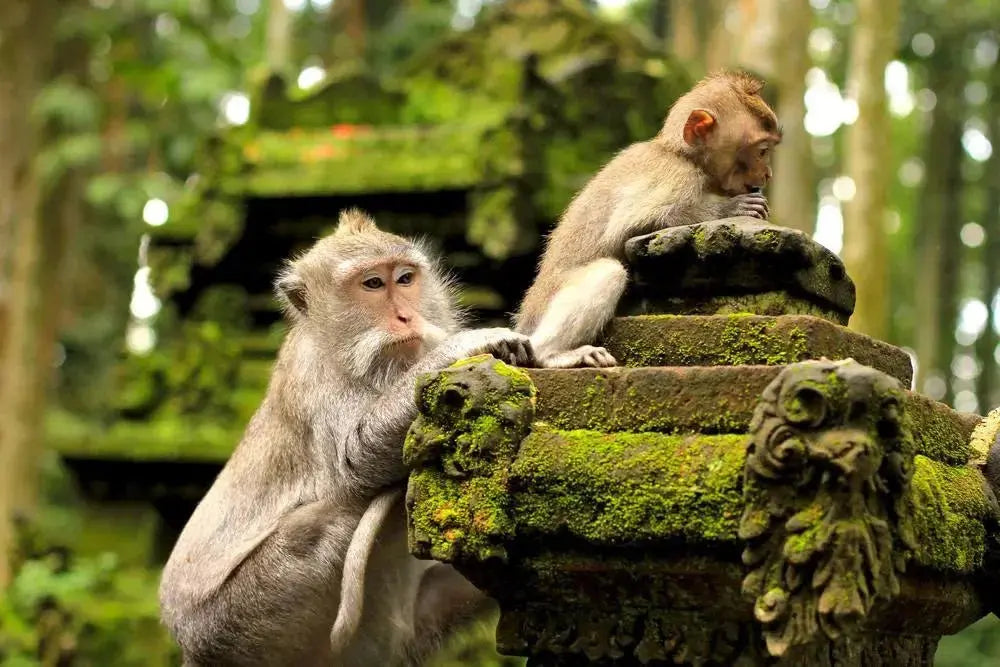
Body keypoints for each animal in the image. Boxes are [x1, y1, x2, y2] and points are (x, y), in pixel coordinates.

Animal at [159, 208, 534, 666]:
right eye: (372, 284)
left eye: (404, 279)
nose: (406, 317)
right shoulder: (313, 375)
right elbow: (356, 459)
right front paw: (464, 346)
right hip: (237, 624)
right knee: (323, 520)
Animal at [515, 71, 782, 369]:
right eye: (762, 151)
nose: (768, 173)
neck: (680, 154)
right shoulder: (677, 177)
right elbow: (630, 225)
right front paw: (731, 208)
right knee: (608, 272)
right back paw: (551, 354)